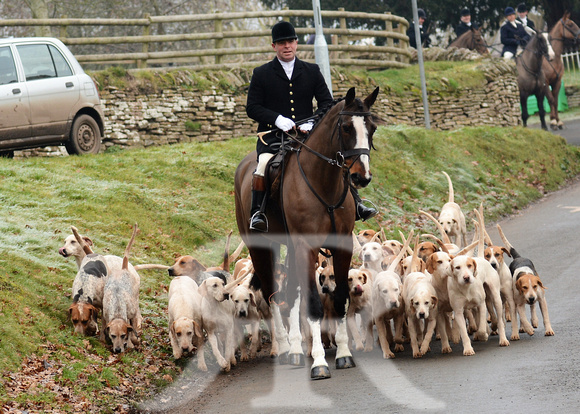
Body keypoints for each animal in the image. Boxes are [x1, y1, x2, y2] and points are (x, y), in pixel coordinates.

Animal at [233, 86, 378, 378]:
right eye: (346, 127)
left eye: (373, 128)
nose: (361, 177)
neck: (325, 183)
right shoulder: (305, 245)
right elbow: (312, 303)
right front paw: (320, 362)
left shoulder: (341, 246)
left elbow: (340, 298)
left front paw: (343, 354)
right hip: (260, 246)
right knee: (272, 294)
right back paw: (285, 349)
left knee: (292, 292)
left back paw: (297, 350)